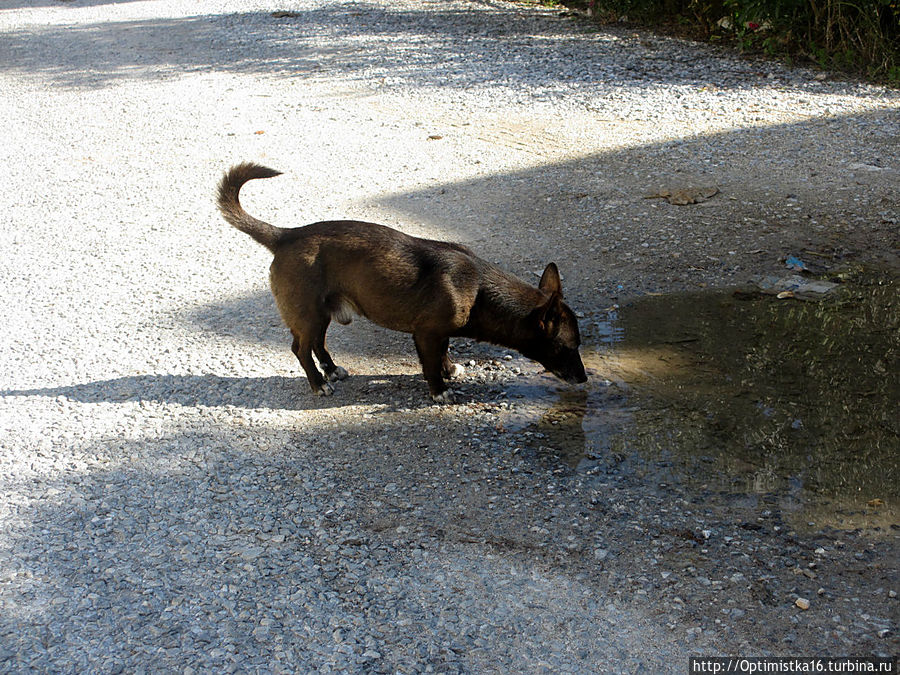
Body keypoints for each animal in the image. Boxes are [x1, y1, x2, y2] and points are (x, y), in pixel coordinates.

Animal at [214, 164, 588, 404]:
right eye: (567, 348)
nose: (585, 379)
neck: (478, 288)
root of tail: (286, 235)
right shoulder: (426, 334)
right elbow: (431, 364)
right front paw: (439, 389)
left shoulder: (439, 333)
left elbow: (444, 351)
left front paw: (449, 369)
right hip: (310, 315)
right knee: (301, 349)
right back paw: (318, 384)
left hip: (321, 316)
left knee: (318, 345)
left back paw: (331, 371)